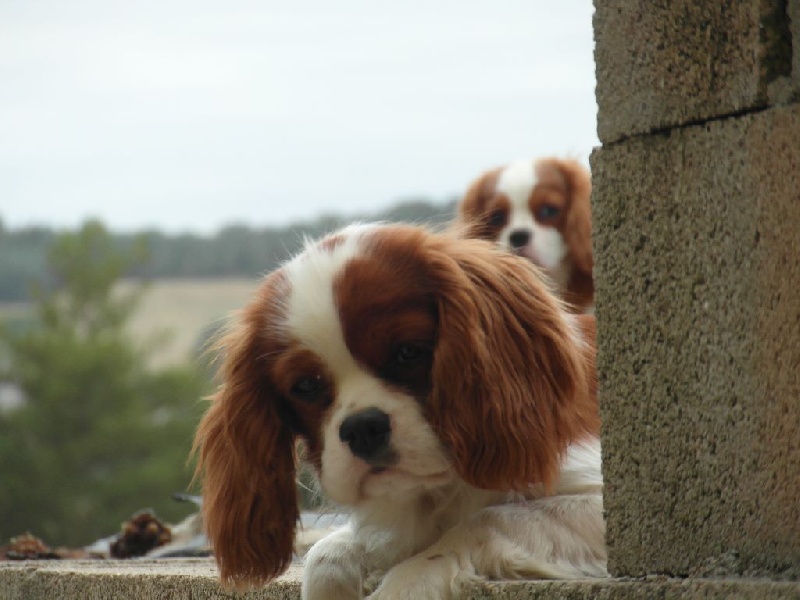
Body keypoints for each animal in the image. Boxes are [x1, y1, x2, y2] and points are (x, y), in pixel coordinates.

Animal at [194, 223, 608, 596]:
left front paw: (408, 580)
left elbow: (486, 520)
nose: (362, 428)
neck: (441, 488)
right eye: (306, 386)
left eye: (408, 352)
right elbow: (326, 556)